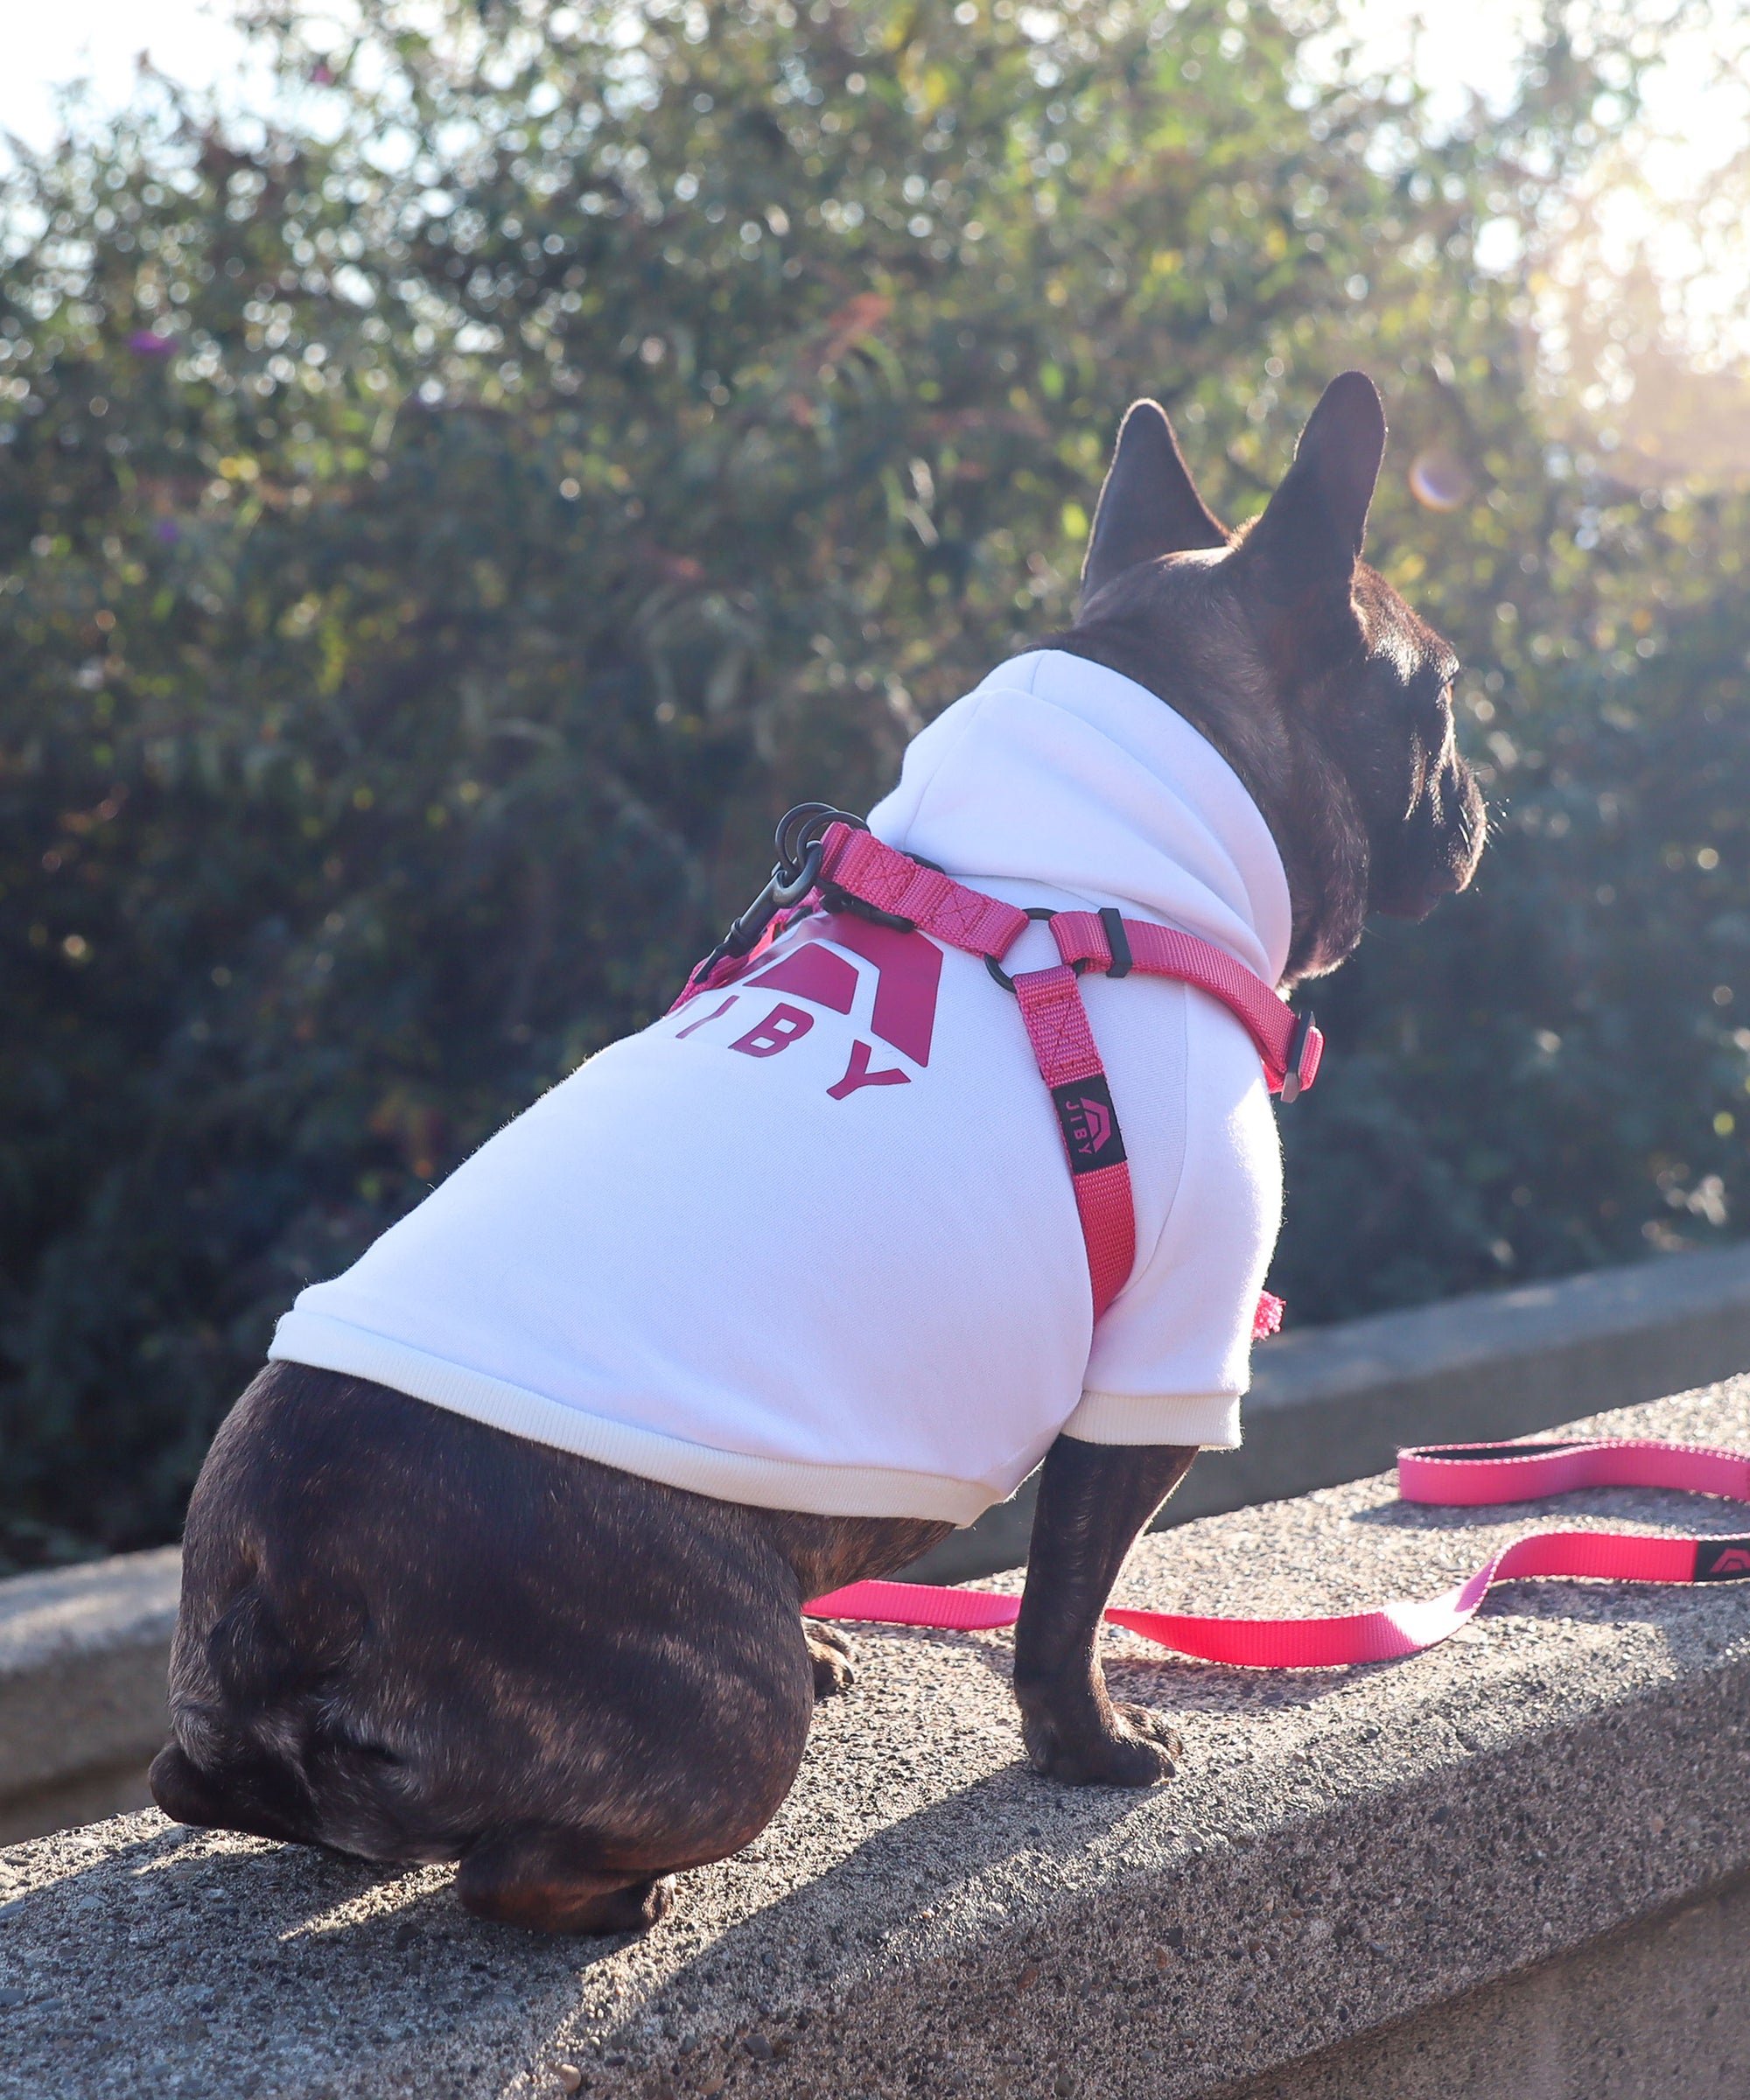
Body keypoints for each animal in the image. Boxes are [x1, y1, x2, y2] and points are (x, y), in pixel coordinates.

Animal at [158, 369, 1479, 1923]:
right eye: (1440, 699)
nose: (1477, 802)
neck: (1075, 874)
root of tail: (281, 1602)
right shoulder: (1156, 1370)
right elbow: (1067, 1602)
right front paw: (1096, 1750)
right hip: (718, 1712)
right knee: (508, 1869)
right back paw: (623, 1891)